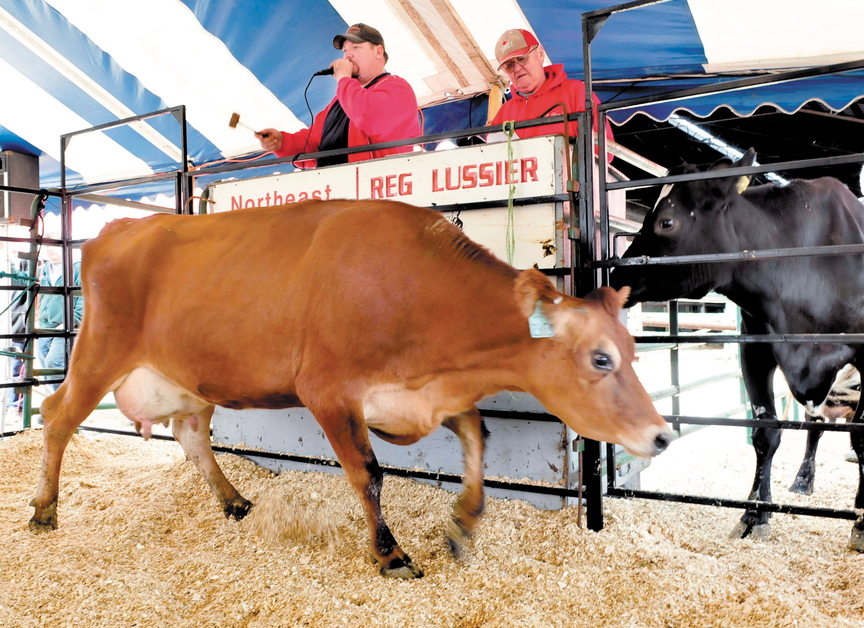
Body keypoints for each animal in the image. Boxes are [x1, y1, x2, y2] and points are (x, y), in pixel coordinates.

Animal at [30, 199, 672, 576]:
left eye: (635, 348)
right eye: (601, 358)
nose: (662, 435)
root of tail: (118, 227)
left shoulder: (423, 395)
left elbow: (477, 437)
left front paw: (463, 522)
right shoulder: (329, 391)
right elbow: (369, 474)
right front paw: (390, 554)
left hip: (189, 380)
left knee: (190, 434)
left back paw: (234, 500)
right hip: (99, 350)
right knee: (56, 413)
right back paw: (43, 510)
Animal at [612, 150, 864, 552]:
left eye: (667, 221)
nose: (615, 275)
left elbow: (862, 436)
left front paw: (862, 522)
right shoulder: (756, 349)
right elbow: (765, 434)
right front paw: (754, 515)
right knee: (814, 425)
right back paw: (803, 479)